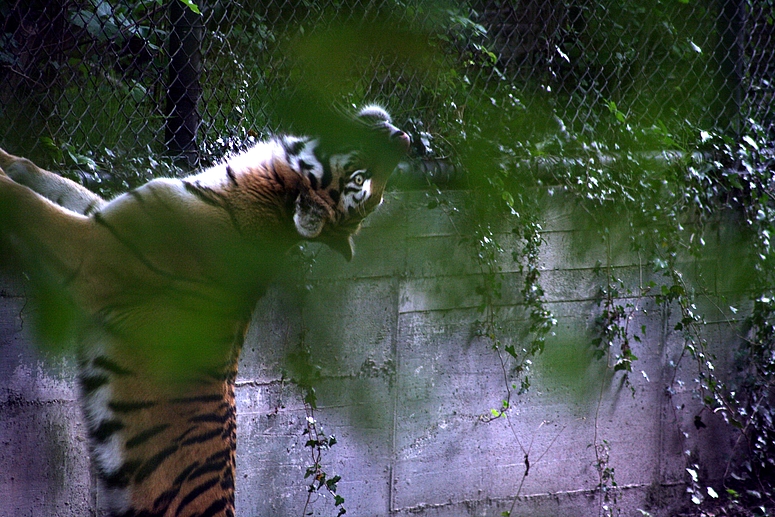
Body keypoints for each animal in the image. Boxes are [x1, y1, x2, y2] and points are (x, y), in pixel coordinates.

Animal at [0, 105, 412, 516]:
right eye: (364, 183)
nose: (404, 139)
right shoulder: (105, 213)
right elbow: (48, 179)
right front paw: (9, 159)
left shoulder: (93, 252)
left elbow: (27, 203)